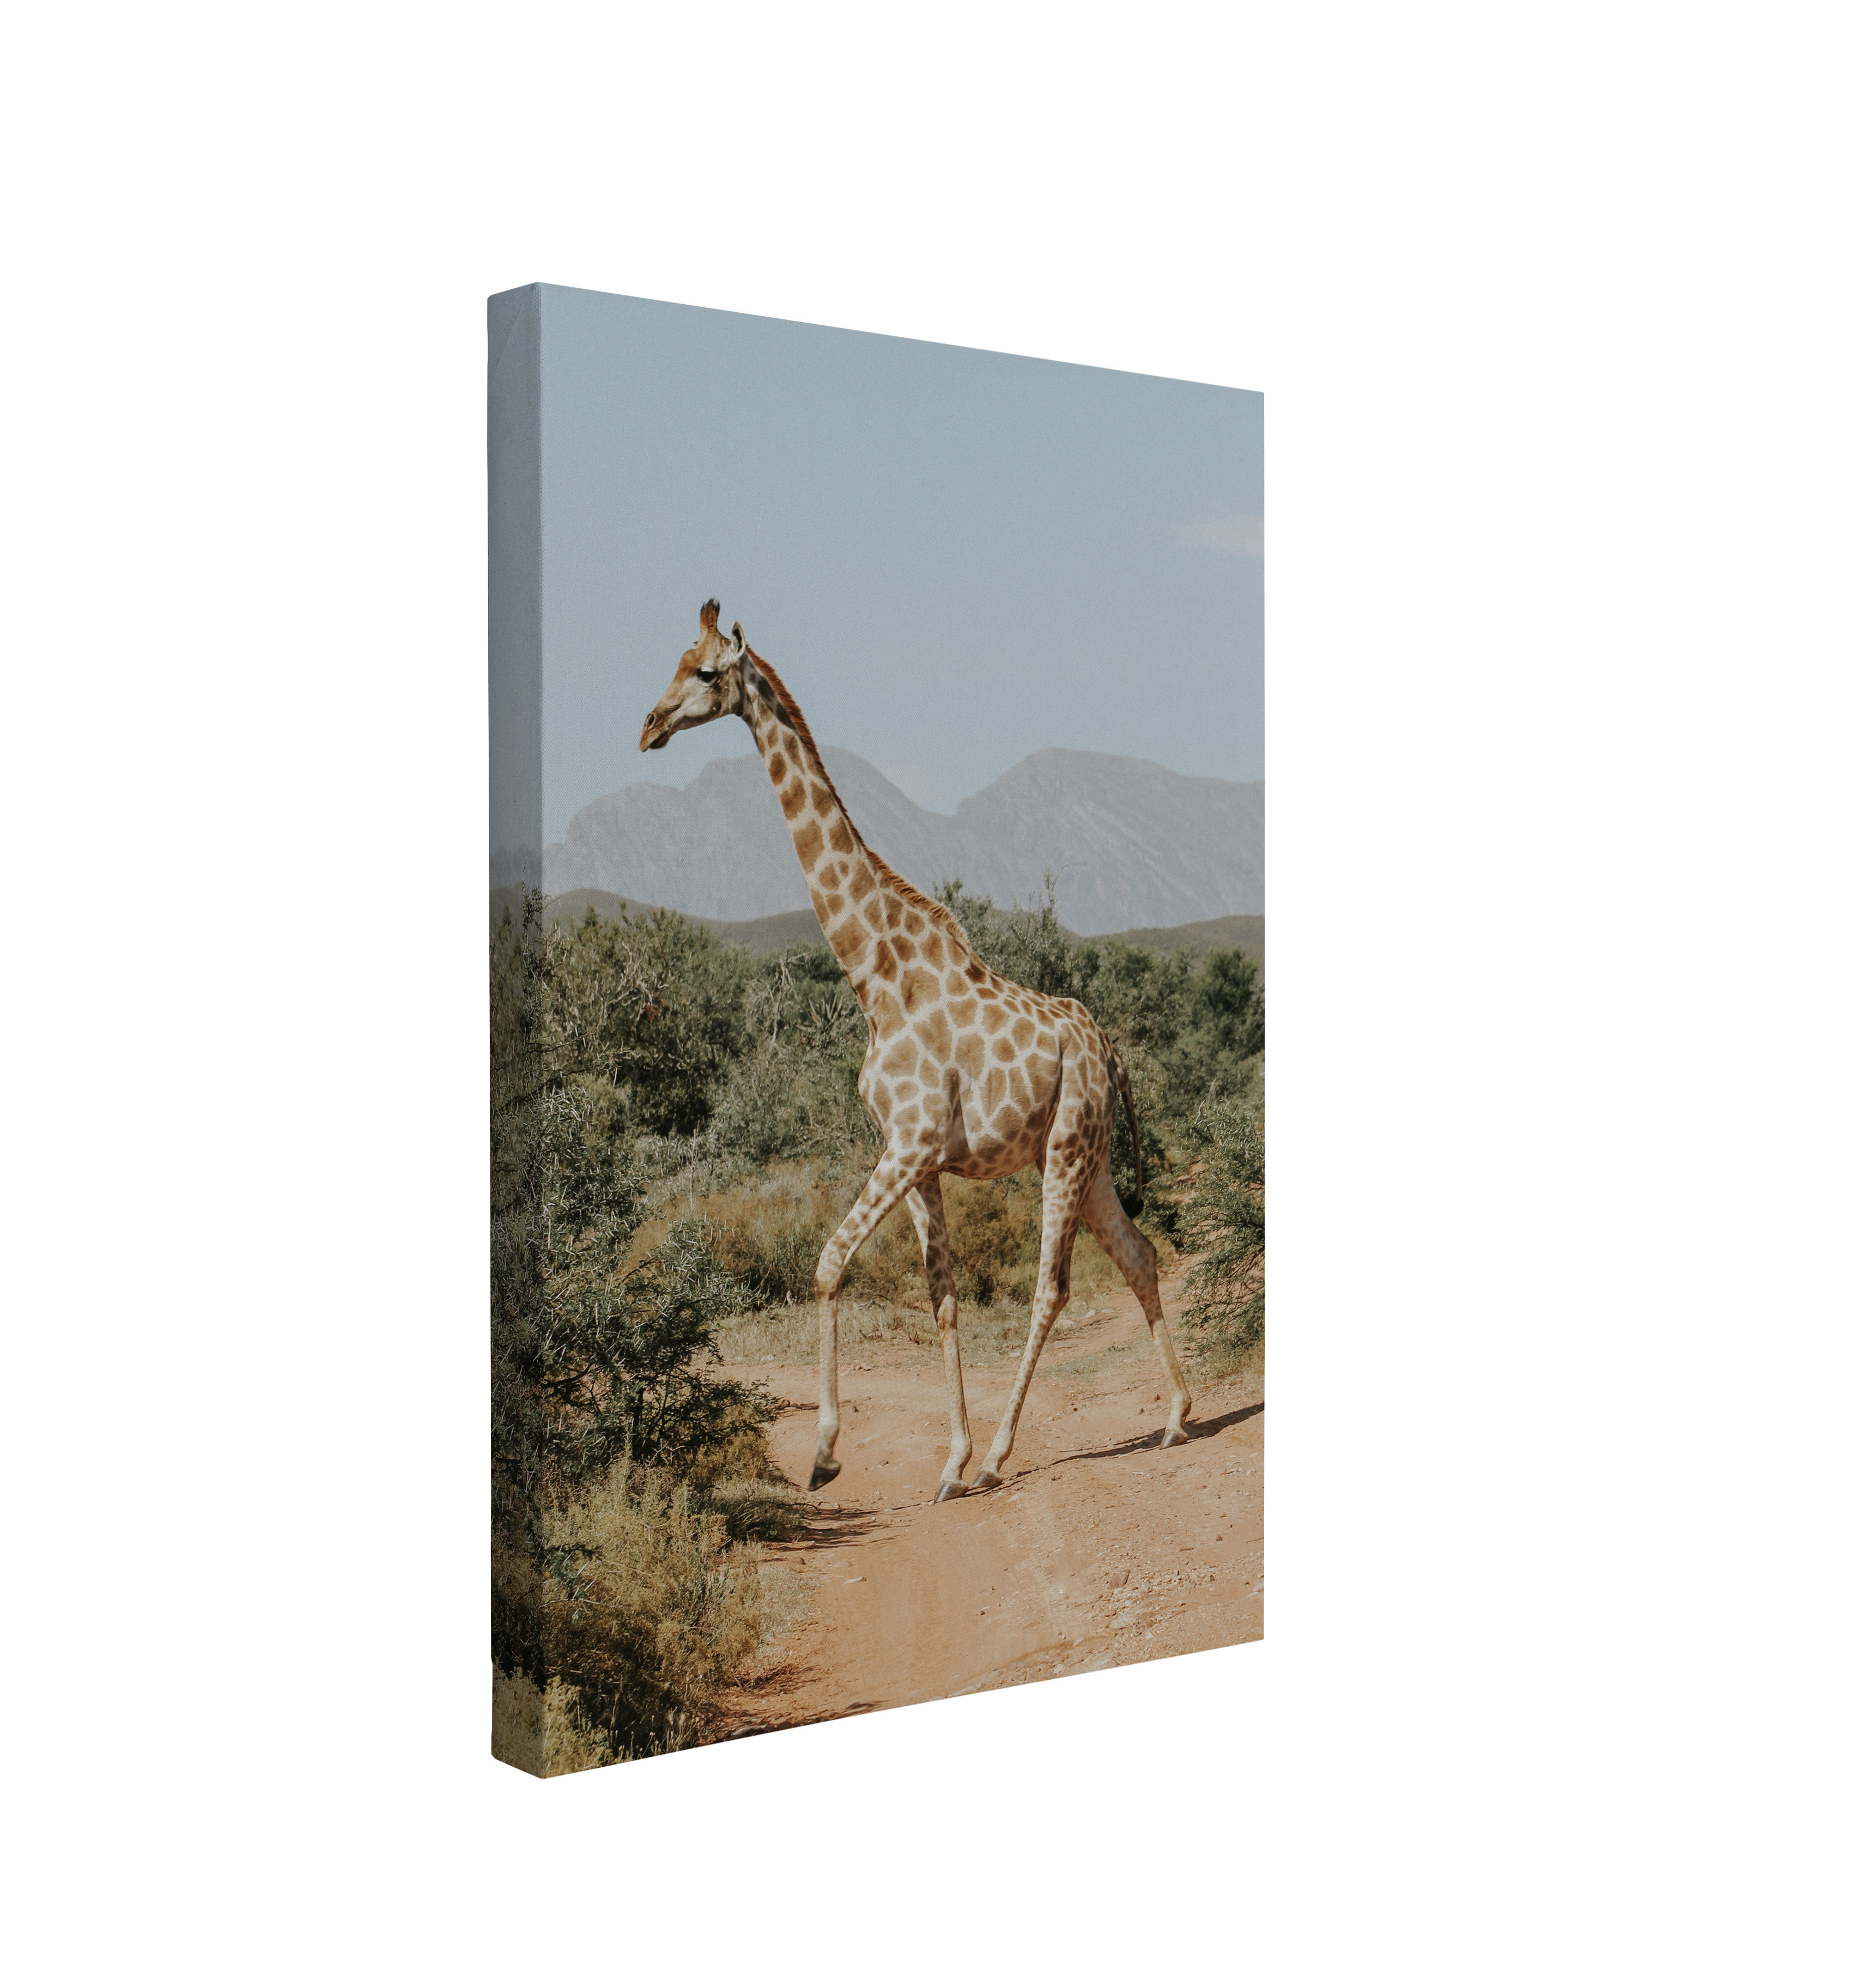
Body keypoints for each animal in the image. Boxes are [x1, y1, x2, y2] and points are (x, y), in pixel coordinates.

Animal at [640, 600, 1193, 1501]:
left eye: (708, 673)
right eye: (676, 661)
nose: (649, 727)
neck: (874, 974)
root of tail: (1109, 1050)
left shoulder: (909, 1144)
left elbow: (829, 1263)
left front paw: (828, 1454)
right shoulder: (921, 1158)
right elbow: (943, 1296)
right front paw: (950, 1458)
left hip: (1068, 1149)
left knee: (1052, 1287)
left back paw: (1005, 1454)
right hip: (1093, 1154)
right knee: (1140, 1255)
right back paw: (1178, 1414)